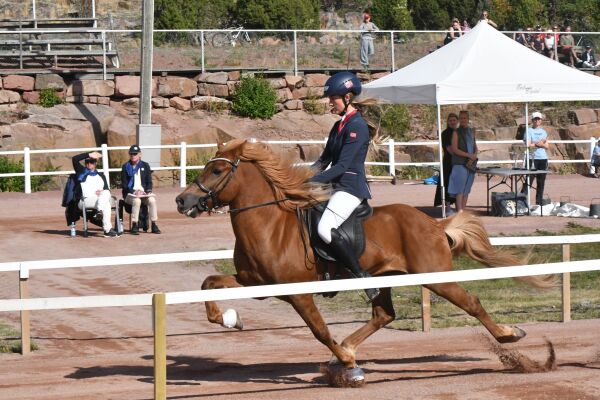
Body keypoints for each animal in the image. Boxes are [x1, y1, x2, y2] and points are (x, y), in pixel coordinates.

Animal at [175, 140, 552, 384]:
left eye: (217, 169)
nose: (182, 201)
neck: (268, 224)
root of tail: (433, 224)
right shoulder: (254, 282)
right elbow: (207, 284)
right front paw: (228, 319)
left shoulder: (299, 294)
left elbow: (319, 329)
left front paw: (345, 360)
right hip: (385, 277)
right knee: (384, 314)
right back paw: (348, 347)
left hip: (434, 277)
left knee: (471, 302)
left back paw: (509, 335)